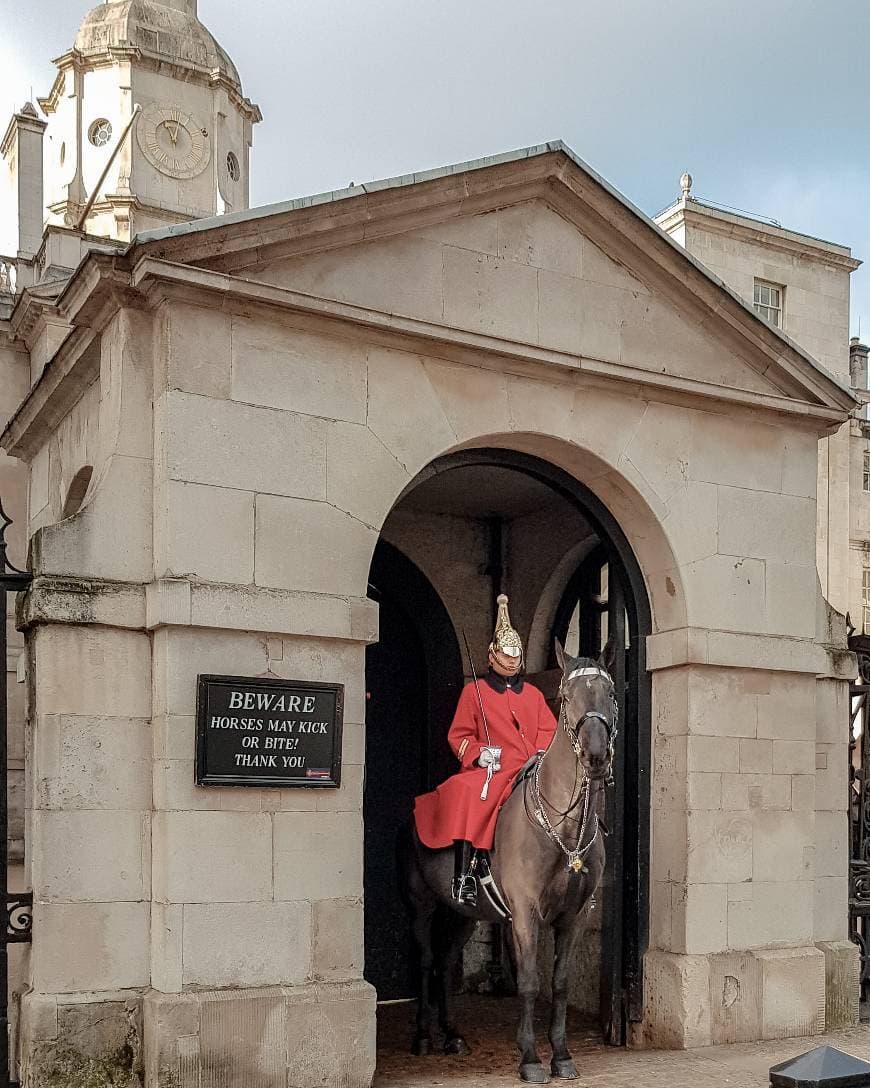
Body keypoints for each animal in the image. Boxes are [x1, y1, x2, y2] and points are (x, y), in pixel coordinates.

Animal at [402, 639, 617, 1083]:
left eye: (610, 693)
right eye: (566, 697)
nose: (595, 757)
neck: (564, 827)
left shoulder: (573, 916)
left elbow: (560, 983)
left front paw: (562, 1055)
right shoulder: (525, 912)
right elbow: (530, 982)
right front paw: (530, 1057)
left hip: (464, 914)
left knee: (446, 961)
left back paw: (452, 1034)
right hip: (422, 904)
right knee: (427, 961)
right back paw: (424, 1036)